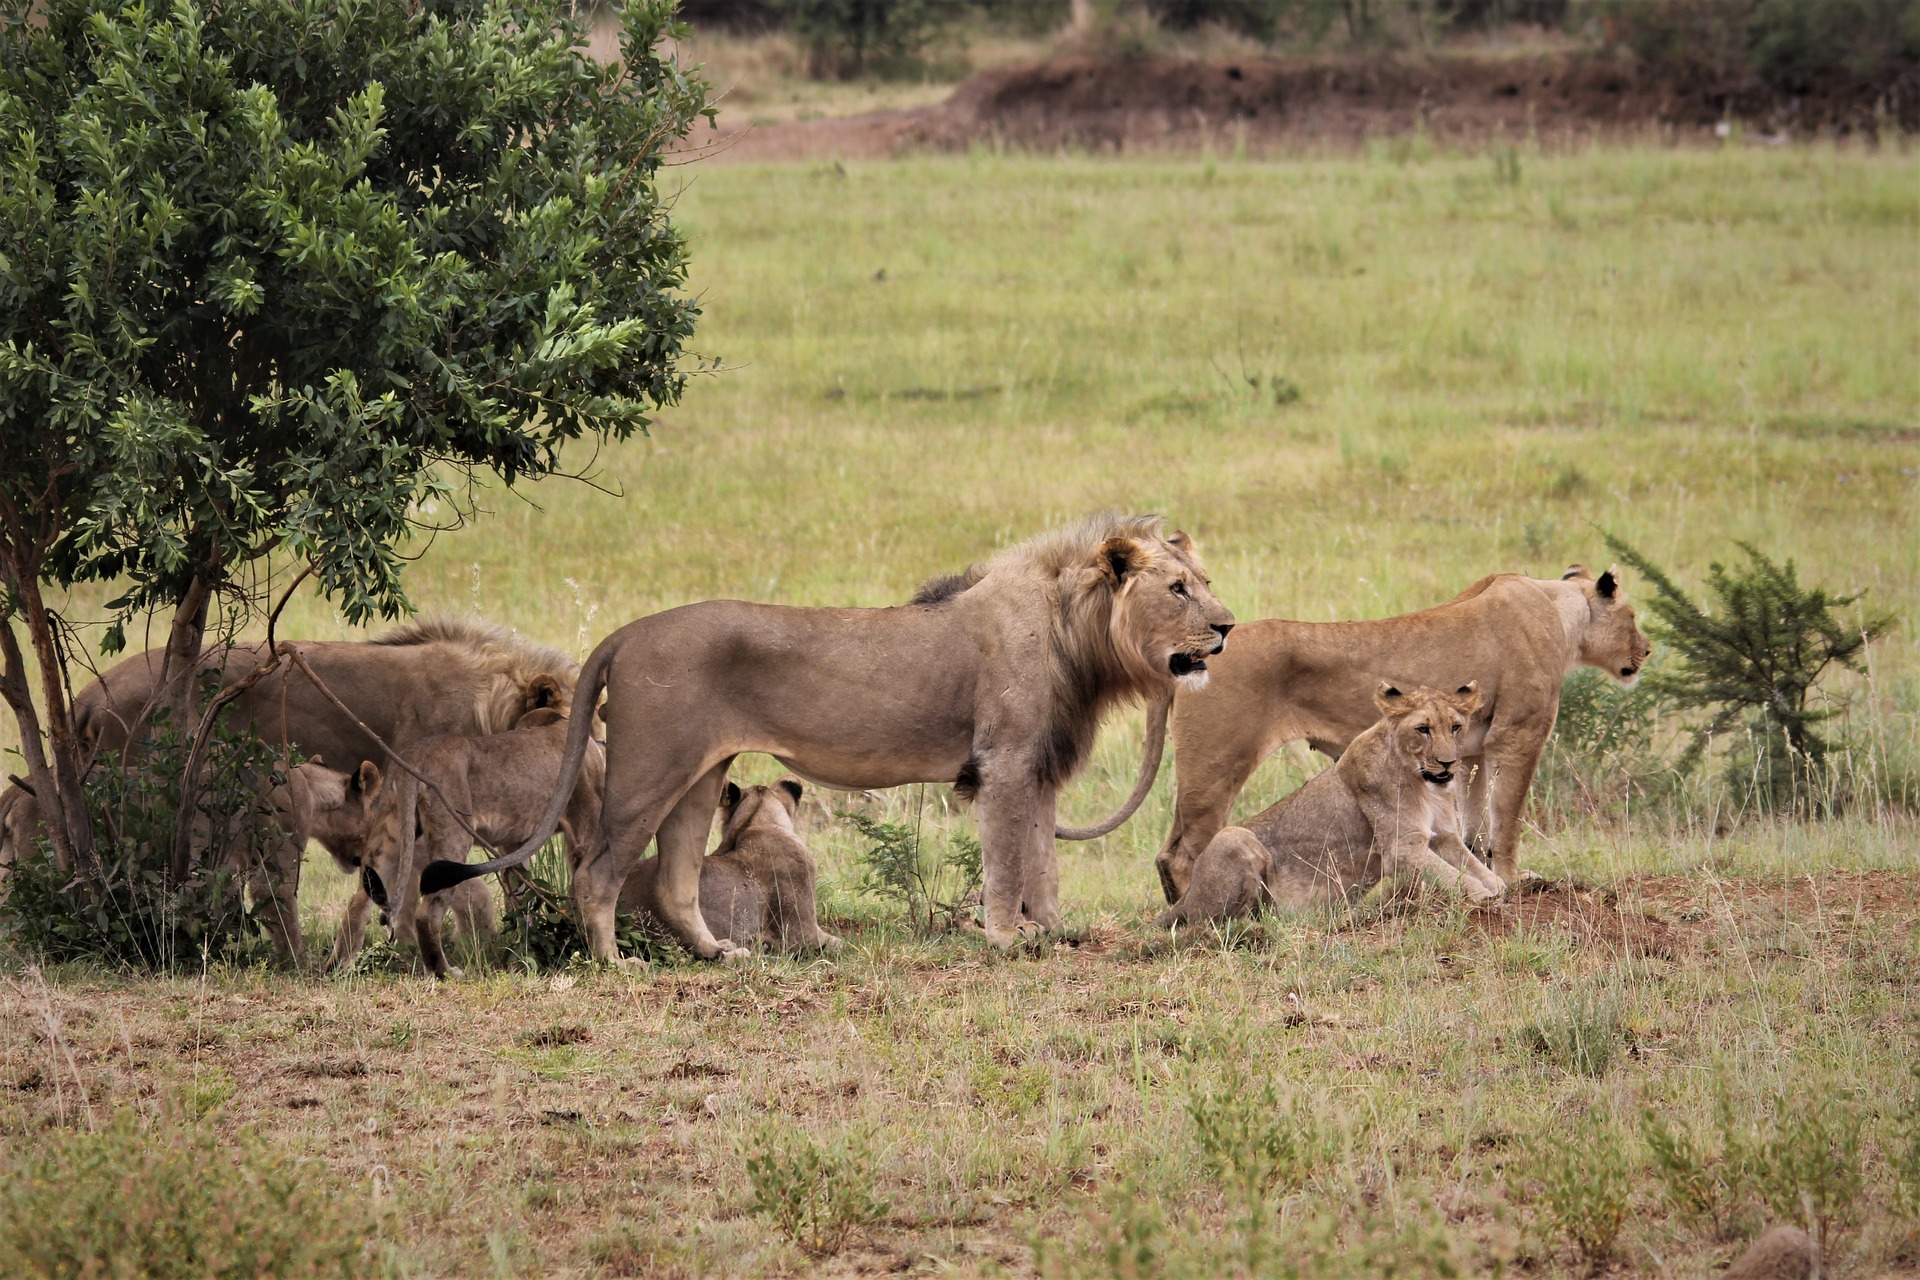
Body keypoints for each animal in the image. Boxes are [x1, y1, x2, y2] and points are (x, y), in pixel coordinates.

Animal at [428, 510, 1236, 959]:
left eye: (1204, 581)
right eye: (1177, 589)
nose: (1228, 627)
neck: (1079, 633)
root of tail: (625, 633)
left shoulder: (1036, 768)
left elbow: (1043, 862)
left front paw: (1055, 933)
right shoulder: (1005, 763)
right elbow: (1008, 864)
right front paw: (1009, 939)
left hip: (697, 778)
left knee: (675, 882)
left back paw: (719, 955)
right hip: (647, 772)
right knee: (595, 872)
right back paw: (611, 965)